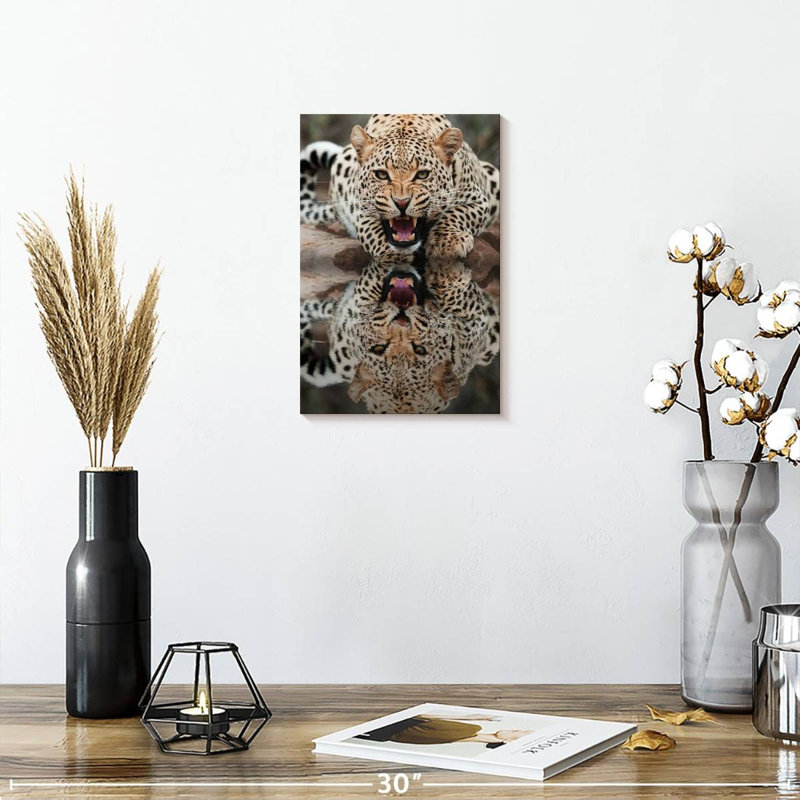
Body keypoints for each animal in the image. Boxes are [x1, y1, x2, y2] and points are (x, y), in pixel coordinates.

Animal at [300, 115, 500, 262]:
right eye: (381, 175)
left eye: (422, 174)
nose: (401, 203)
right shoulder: (359, 207)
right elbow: (372, 232)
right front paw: (391, 255)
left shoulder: (478, 199)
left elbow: (457, 213)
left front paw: (446, 243)